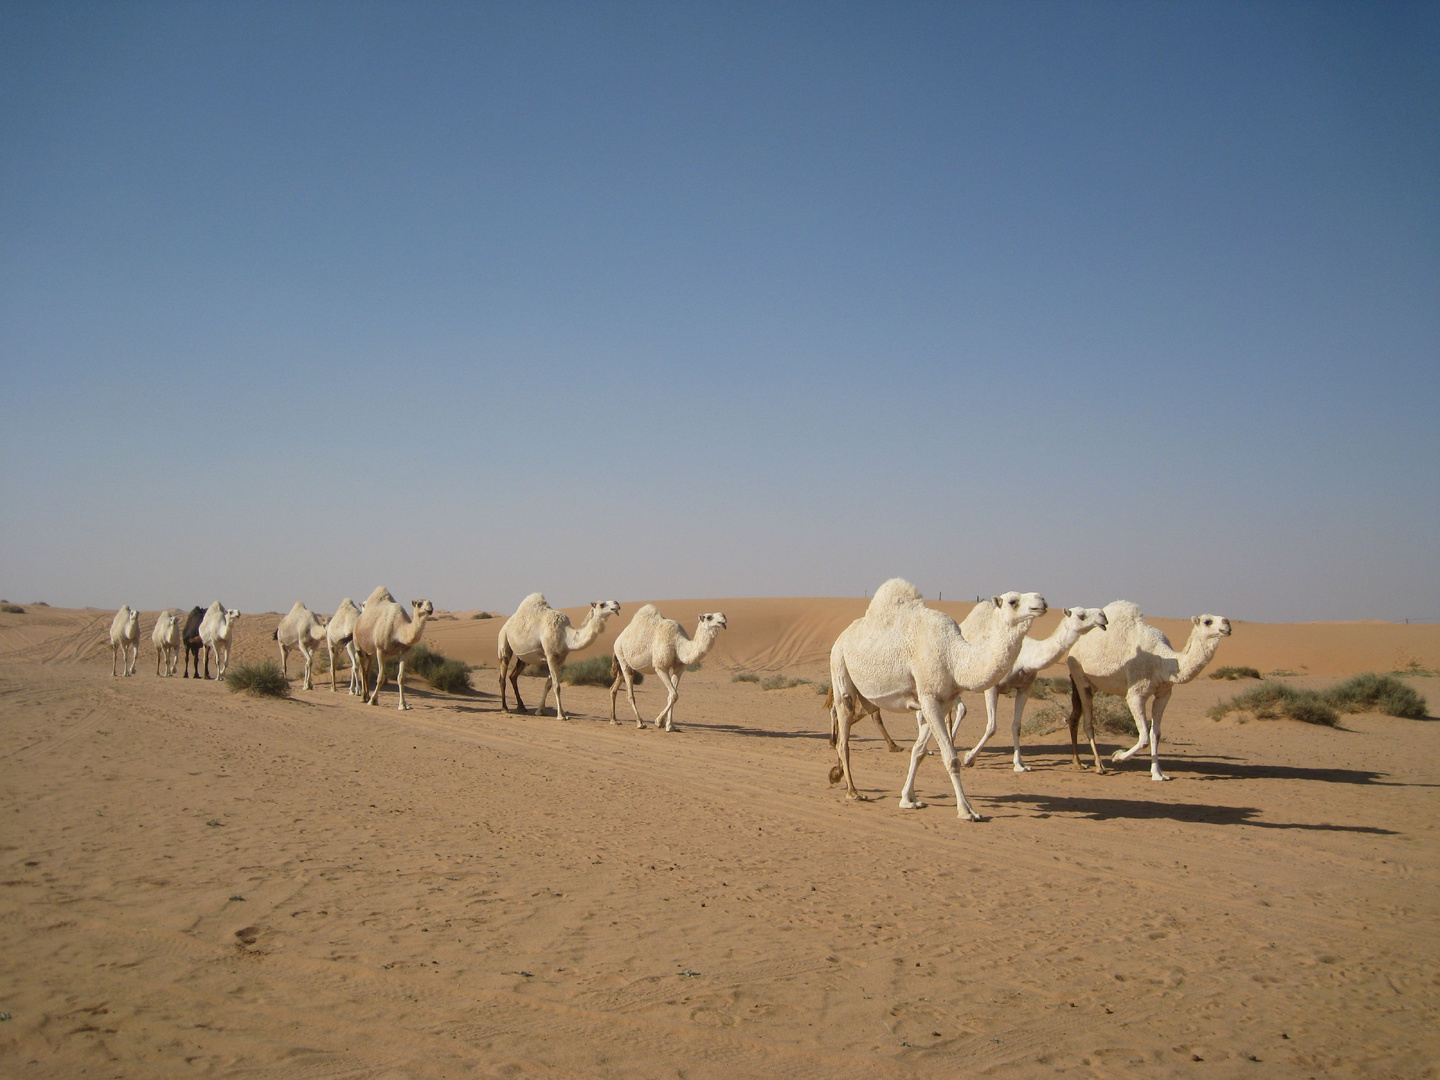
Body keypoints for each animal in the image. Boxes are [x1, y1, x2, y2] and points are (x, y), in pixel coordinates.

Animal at [823, 584, 1048, 817]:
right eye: (1013, 601)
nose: (1041, 601)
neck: (954, 658)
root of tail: (842, 636)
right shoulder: (929, 698)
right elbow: (952, 758)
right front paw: (967, 810)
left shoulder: (941, 702)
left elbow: (919, 751)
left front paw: (909, 799)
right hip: (839, 667)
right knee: (843, 731)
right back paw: (853, 790)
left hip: (869, 696)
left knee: (861, 716)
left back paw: (837, 773)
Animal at [961, 604, 1105, 771]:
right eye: (1081, 615)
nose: (1103, 616)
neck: (1024, 658)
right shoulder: (992, 688)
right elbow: (991, 727)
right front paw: (968, 758)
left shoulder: (1025, 688)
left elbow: (1016, 726)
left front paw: (1019, 764)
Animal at [1065, 601, 1232, 789]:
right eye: (1207, 621)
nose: (1227, 623)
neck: (1163, 663)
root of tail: (1074, 647)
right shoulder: (1135, 695)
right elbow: (1144, 737)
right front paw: (1117, 756)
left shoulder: (1164, 694)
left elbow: (1155, 734)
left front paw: (1158, 774)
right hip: (1080, 677)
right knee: (1088, 722)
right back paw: (1099, 765)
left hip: (1087, 684)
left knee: (1074, 717)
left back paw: (1079, 763)